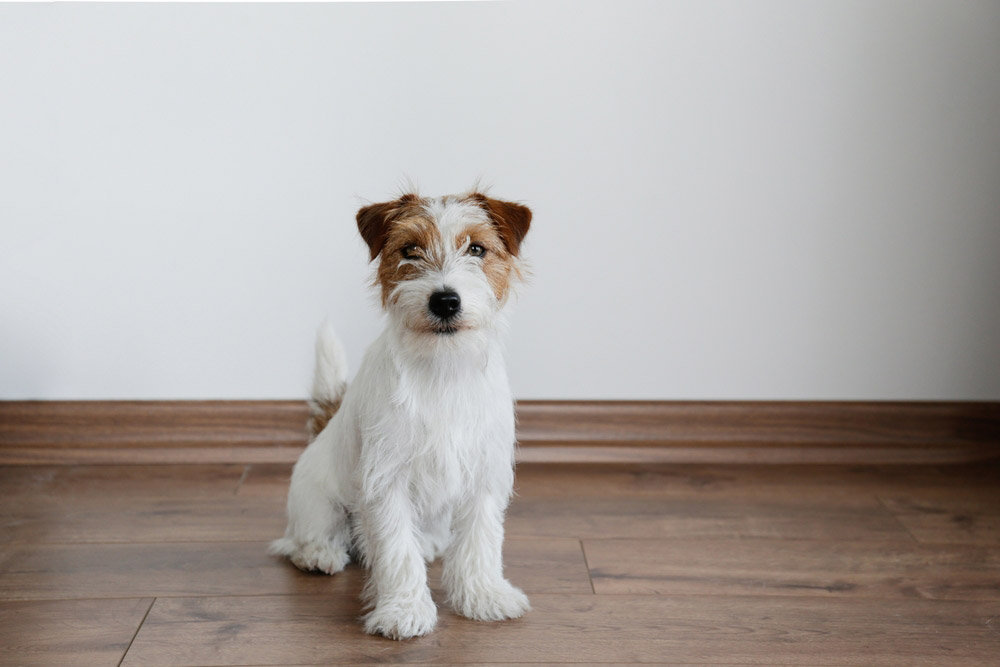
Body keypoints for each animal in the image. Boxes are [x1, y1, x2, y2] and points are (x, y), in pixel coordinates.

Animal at [266, 190, 532, 640]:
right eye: (410, 250)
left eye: (477, 249)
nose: (445, 300)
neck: (443, 369)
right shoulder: (386, 479)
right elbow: (395, 550)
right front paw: (403, 611)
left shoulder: (483, 474)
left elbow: (480, 541)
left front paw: (484, 596)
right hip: (318, 502)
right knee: (307, 538)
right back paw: (318, 553)